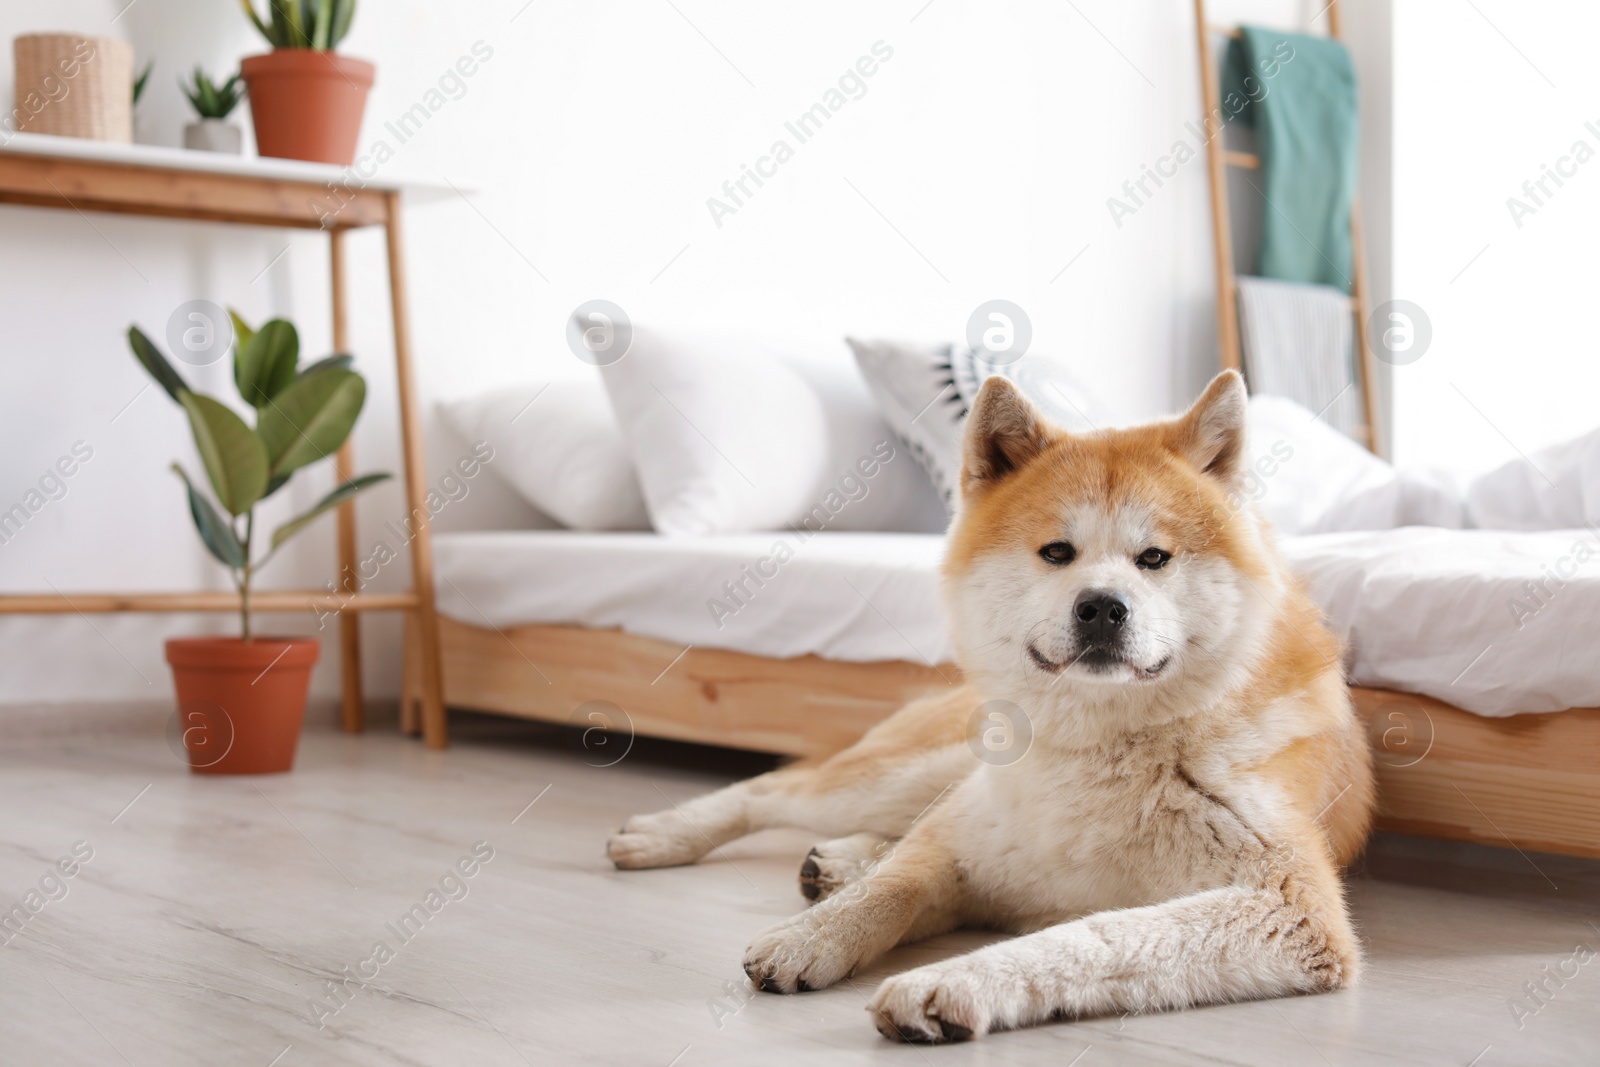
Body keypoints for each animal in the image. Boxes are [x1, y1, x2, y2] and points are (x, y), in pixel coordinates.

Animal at [604, 369, 1369, 1043]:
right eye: (1056, 551)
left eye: (1154, 558)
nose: (1101, 607)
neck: (1101, 749)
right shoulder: (962, 850)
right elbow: (893, 887)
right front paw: (813, 936)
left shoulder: (1289, 908)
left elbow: (1088, 935)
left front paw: (951, 981)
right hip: (911, 773)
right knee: (775, 791)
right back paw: (668, 835)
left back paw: (837, 861)